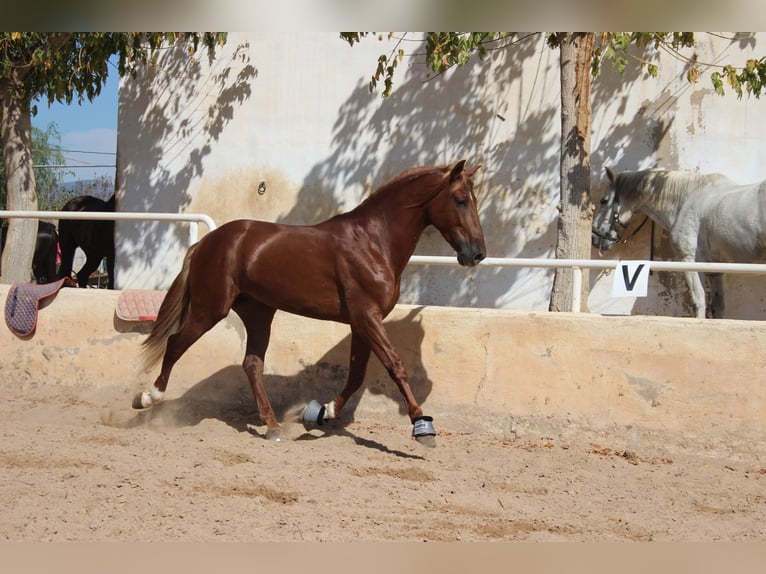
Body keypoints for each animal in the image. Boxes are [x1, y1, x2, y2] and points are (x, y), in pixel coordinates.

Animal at [133, 160, 486, 446]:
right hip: (210, 309)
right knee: (176, 344)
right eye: (460, 200)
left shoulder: (362, 321)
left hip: (259, 313)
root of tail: (207, 242)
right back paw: (147, 398)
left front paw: (321, 412)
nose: (477, 253)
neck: (373, 242)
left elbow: (357, 374)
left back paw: (273, 426)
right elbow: (395, 366)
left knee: (252, 364)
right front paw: (422, 426)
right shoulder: (367, 316)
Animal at [592, 167, 766, 318]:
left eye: (604, 200)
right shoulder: (715, 271)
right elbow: (718, 308)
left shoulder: (689, 261)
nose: (594, 236)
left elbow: (698, 302)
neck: (686, 199)